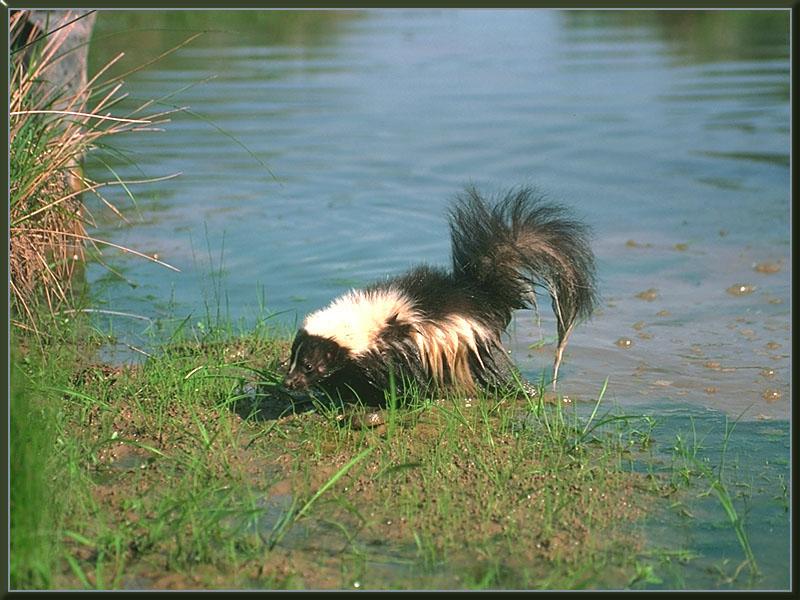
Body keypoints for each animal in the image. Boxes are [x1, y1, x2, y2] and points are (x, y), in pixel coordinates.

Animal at [284, 185, 596, 406]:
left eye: (309, 366)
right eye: (293, 358)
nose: (288, 382)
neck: (364, 330)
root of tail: (477, 294)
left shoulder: (398, 352)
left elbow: (398, 383)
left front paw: (385, 402)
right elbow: (349, 379)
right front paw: (340, 397)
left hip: (473, 347)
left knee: (495, 374)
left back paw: (520, 392)